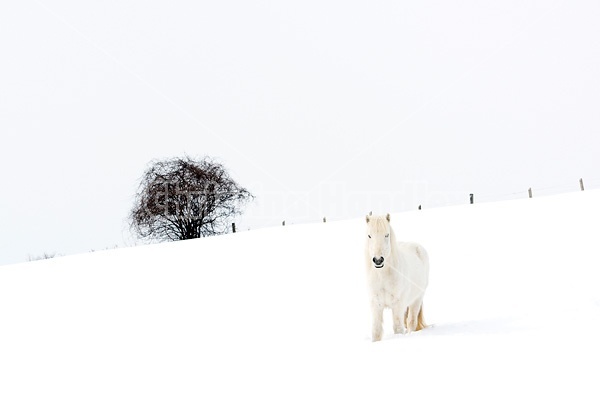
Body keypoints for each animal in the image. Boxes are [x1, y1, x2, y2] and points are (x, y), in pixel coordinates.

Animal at [364, 212, 428, 340]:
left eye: (386, 235)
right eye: (369, 236)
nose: (378, 260)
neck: (382, 276)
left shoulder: (398, 305)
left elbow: (398, 329)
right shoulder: (376, 305)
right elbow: (376, 331)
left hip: (417, 299)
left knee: (411, 322)